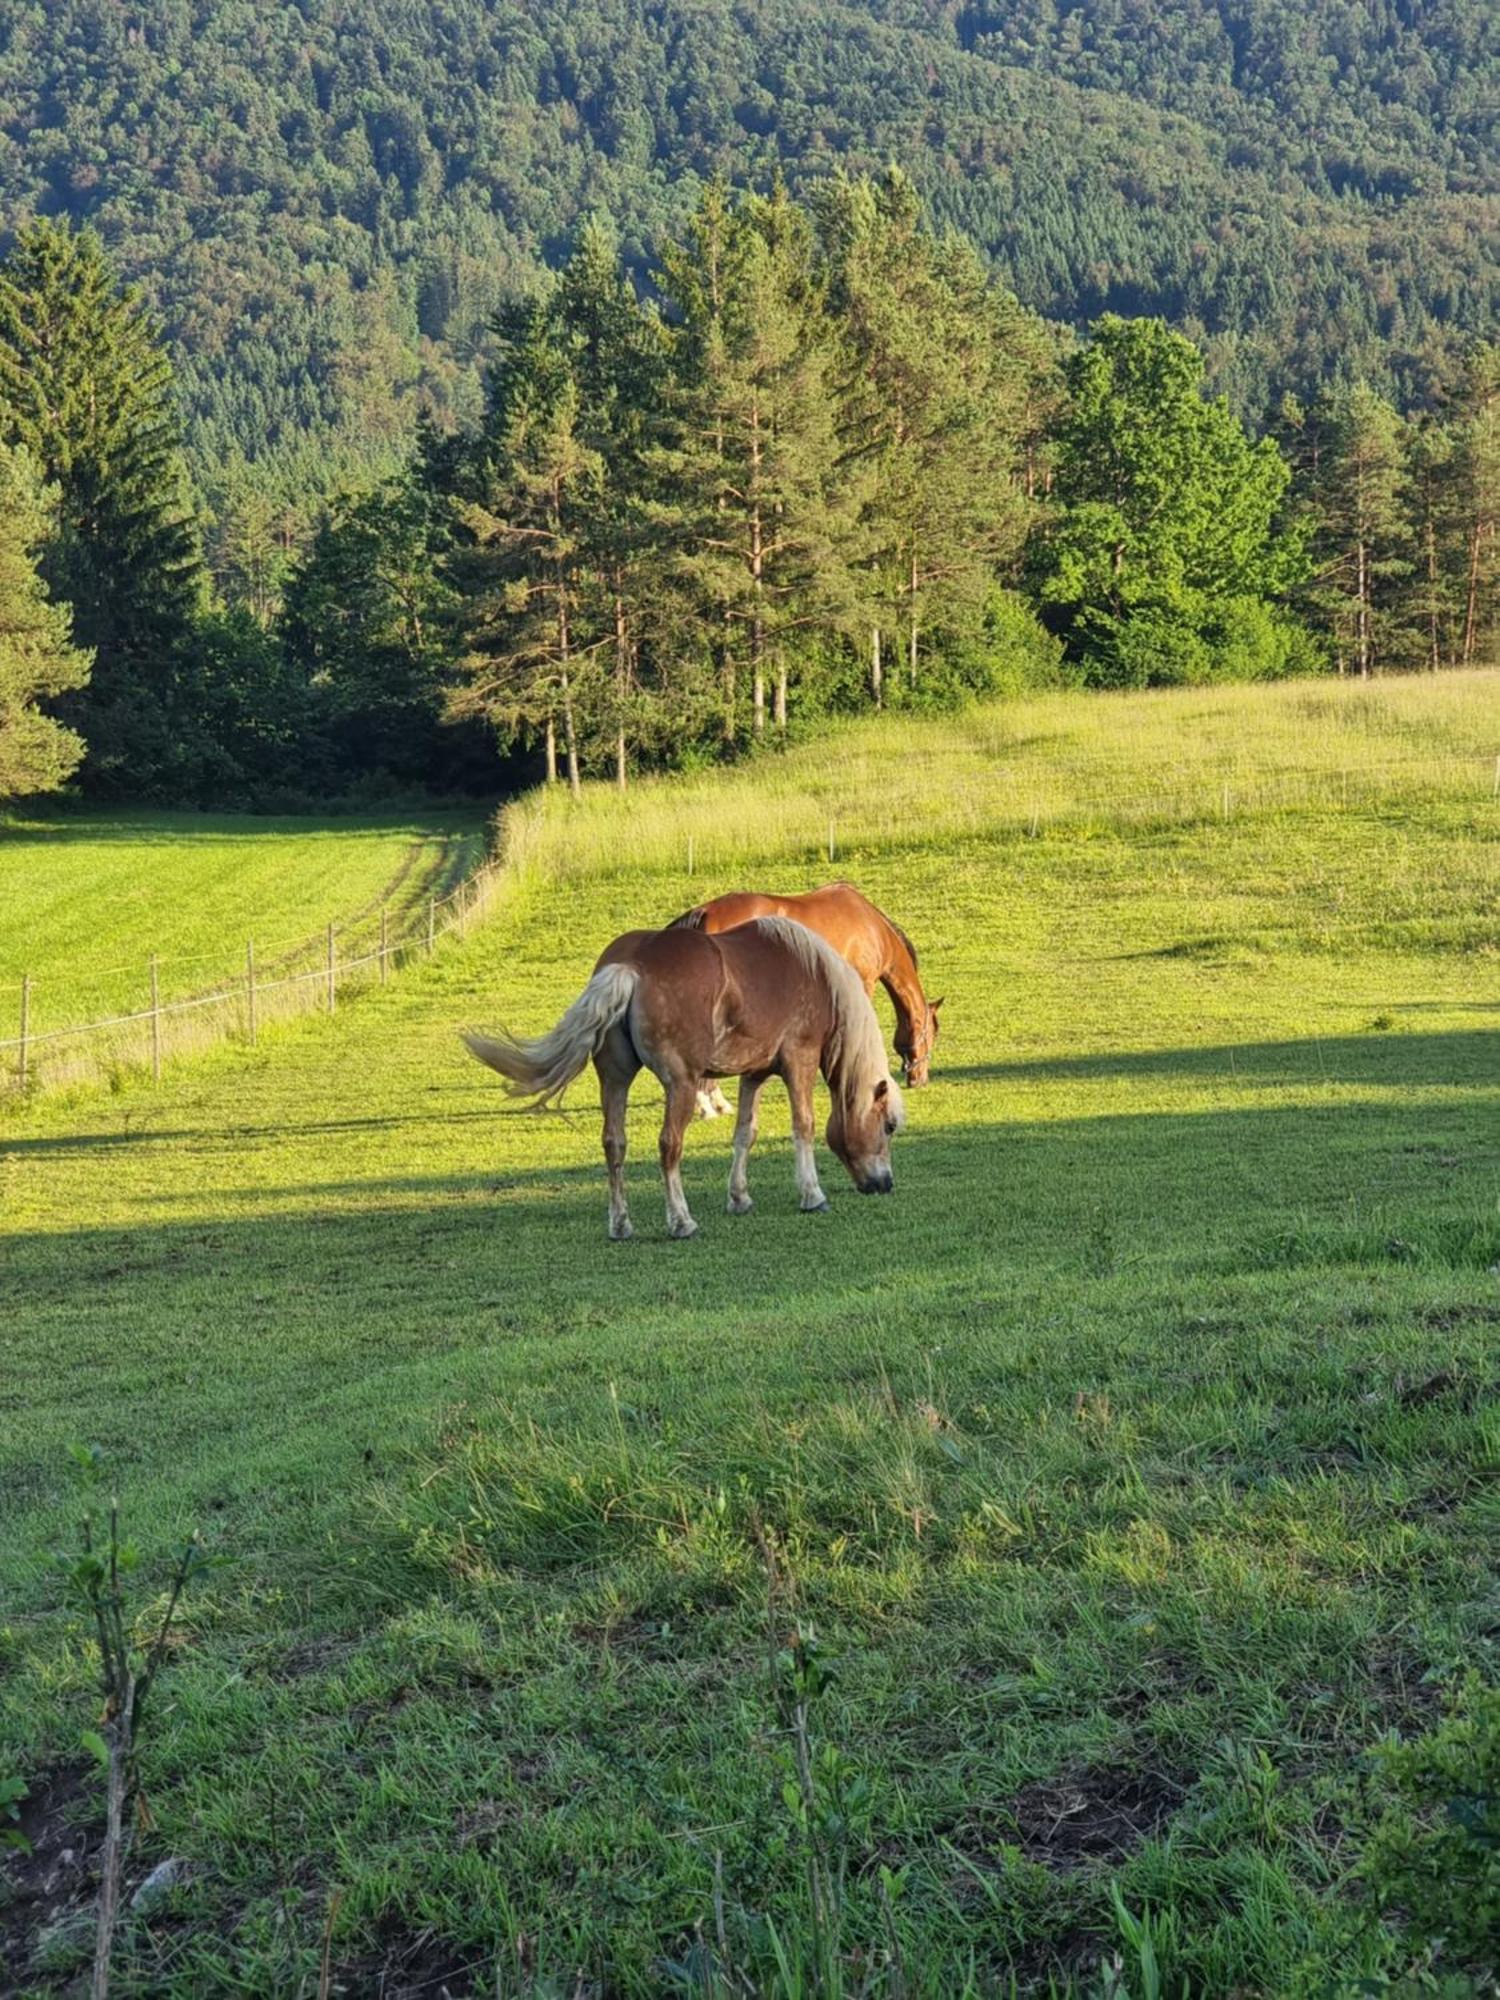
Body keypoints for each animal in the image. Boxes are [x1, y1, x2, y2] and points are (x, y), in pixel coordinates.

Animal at [458, 916, 904, 1232]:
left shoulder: (753, 1074)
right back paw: (681, 1221)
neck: (813, 974)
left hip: (615, 1081)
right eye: (888, 1126)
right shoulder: (799, 1061)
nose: (885, 1184)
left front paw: (739, 1197)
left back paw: (621, 1224)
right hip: (682, 1085)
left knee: (614, 1143)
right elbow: (804, 1126)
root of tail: (631, 965)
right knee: (668, 1145)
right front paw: (812, 1194)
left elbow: (745, 1133)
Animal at [676, 888, 944, 1120]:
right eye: (931, 1035)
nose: (920, 1079)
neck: (872, 927)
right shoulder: (863, 983)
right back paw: (709, 1106)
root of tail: (705, 912)